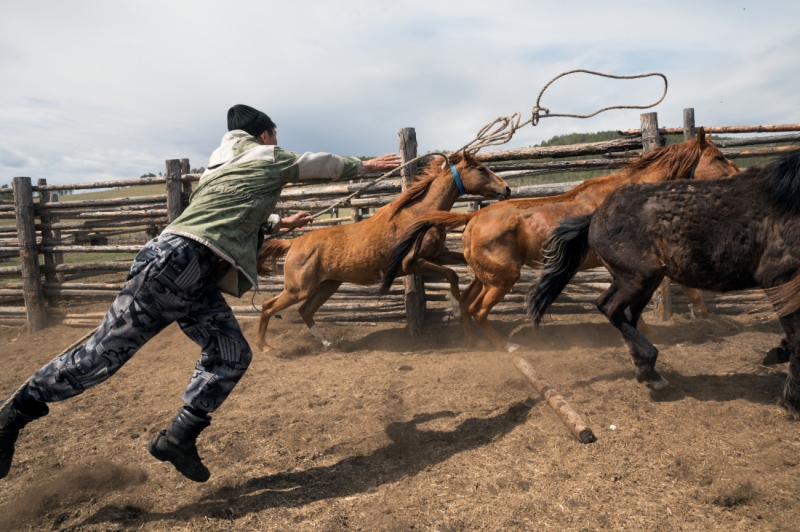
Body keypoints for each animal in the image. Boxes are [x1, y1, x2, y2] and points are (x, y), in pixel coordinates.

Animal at [254, 152, 510, 353]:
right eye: (481, 169)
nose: (506, 189)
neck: (418, 216)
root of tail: (294, 243)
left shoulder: (438, 256)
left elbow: (462, 267)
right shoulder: (412, 263)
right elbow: (452, 275)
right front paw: (456, 309)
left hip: (327, 285)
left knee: (305, 310)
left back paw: (327, 343)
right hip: (298, 288)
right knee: (268, 306)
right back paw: (264, 346)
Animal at [380, 129, 740, 352]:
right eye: (720, 157)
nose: (740, 177)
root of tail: (471, 219)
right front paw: (694, 311)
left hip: (485, 276)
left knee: (467, 303)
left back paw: (474, 341)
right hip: (503, 278)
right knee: (479, 310)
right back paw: (505, 347)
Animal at [526, 152, 800, 419]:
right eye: (719, 158)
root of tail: (595, 215)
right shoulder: (780, 280)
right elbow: (797, 338)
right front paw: (791, 401)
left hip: (646, 281)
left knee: (625, 314)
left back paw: (645, 369)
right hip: (638, 278)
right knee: (609, 307)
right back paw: (648, 366)